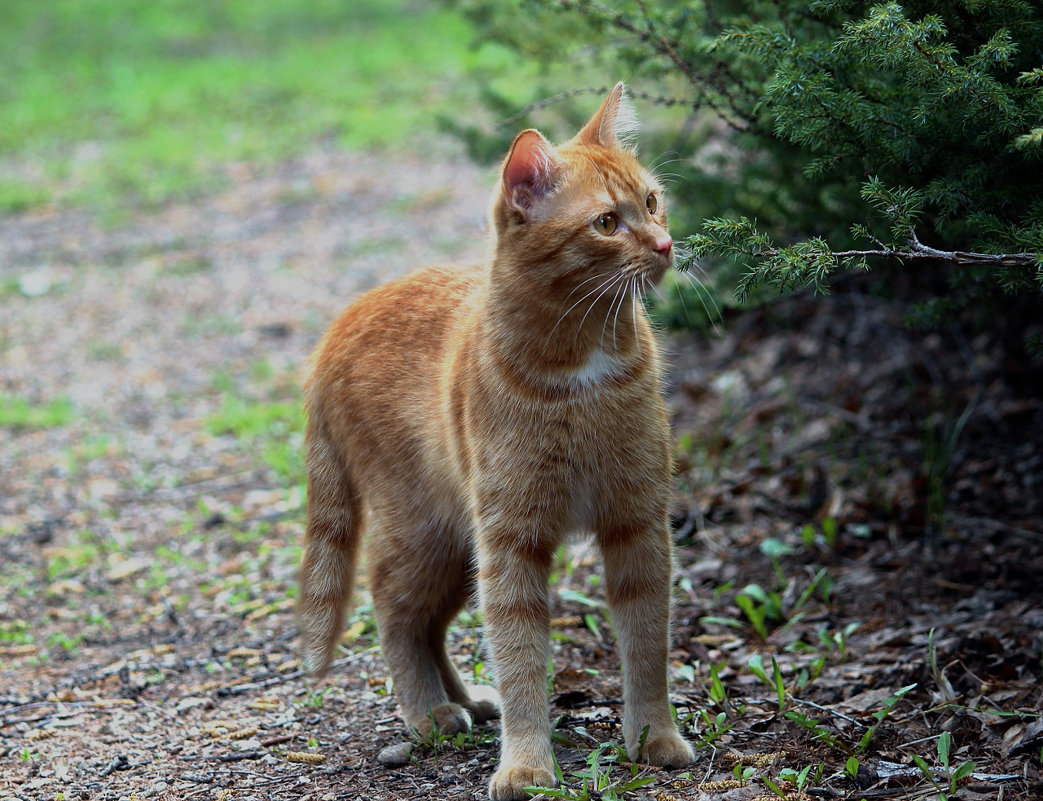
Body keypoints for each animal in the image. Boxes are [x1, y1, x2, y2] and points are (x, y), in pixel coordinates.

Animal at [300, 84, 692, 796]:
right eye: (606, 223)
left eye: (651, 202)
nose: (666, 243)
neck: (581, 365)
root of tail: (340, 324)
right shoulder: (512, 540)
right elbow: (520, 657)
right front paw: (528, 765)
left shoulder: (636, 522)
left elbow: (647, 643)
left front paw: (654, 737)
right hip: (426, 532)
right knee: (393, 607)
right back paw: (428, 714)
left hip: (457, 545)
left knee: (426, 622)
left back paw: (462, 701)